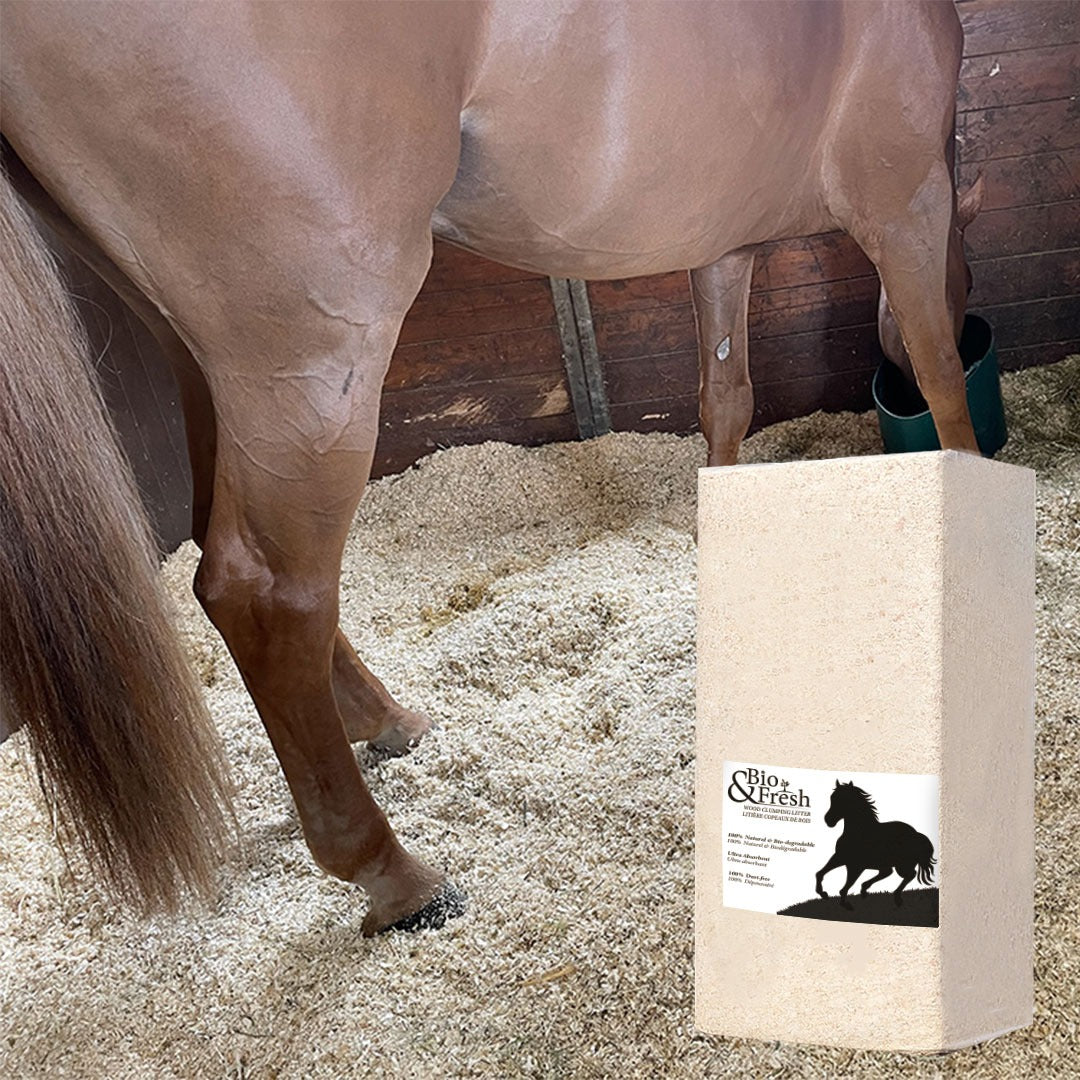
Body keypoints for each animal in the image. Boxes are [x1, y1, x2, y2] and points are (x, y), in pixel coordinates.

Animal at [1, 0, 980, 935]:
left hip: (213, 361)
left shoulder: (726, 242)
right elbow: (941, 380)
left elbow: (727, 398)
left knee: (234, 562)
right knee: (265, 592)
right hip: (315, 358)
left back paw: (387, 723)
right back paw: (395, 875)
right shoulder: (907, 203)